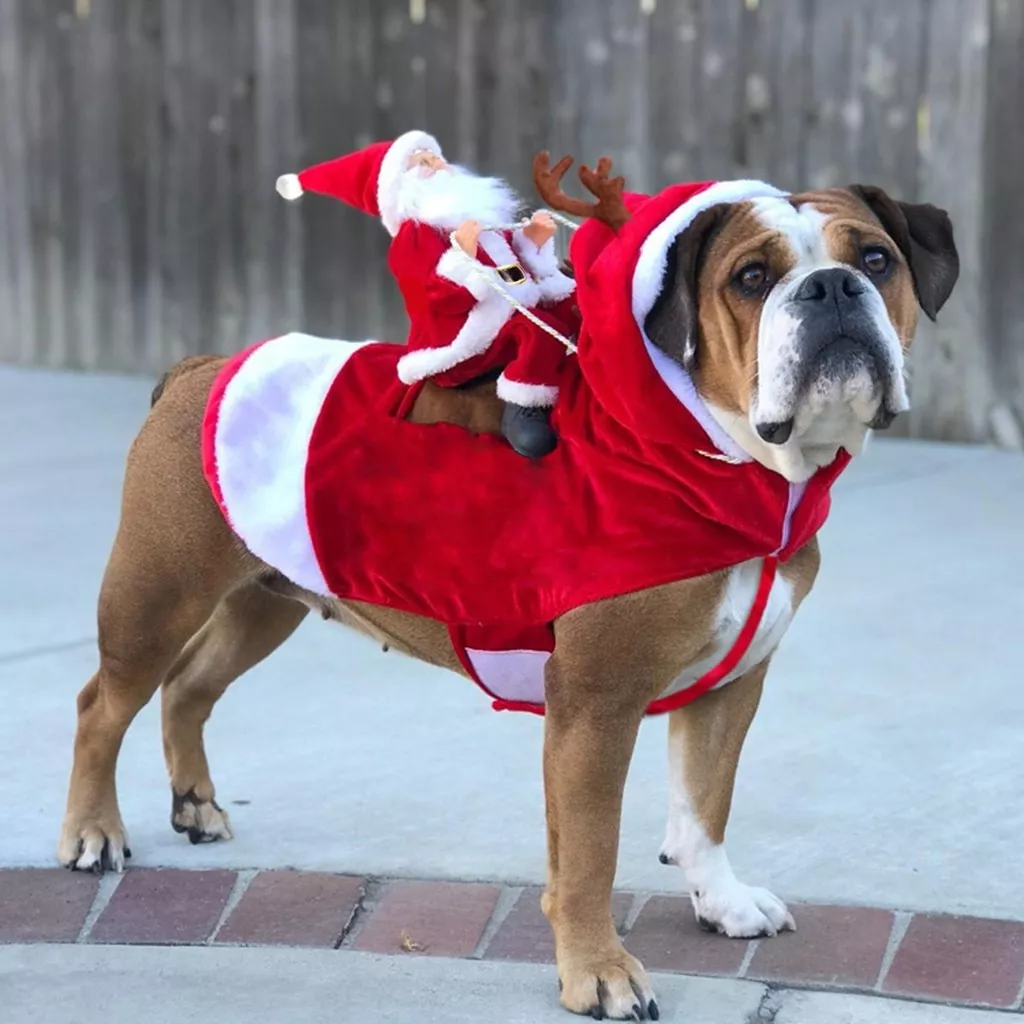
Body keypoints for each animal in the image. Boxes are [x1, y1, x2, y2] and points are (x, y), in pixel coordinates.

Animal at [59, 155, 954, 1019]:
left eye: (876, 259)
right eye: (752, 278)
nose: (833, 288)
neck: (720, 456)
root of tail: (201, 368)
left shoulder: (732, 687)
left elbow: (706, 805)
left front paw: (722, 903)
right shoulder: (594, 709)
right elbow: (590, 854)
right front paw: (600, 974)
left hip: (264, 598)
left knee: (190, 687)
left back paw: (195, 804)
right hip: (156, 596)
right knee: (104, 704)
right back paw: (93, 834)